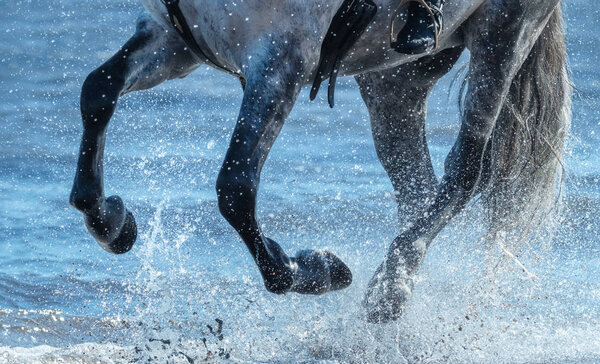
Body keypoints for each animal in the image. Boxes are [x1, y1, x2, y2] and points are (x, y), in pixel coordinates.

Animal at [69, 0, 568, 324]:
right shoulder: (173, 38)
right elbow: (98, 90)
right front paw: (111, 222)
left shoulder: (279, 60)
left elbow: (235, 189)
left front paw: (312, 270)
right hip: (396, 75)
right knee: (416, 186)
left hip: (503, 34)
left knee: (464, 172)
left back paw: (389, 290)